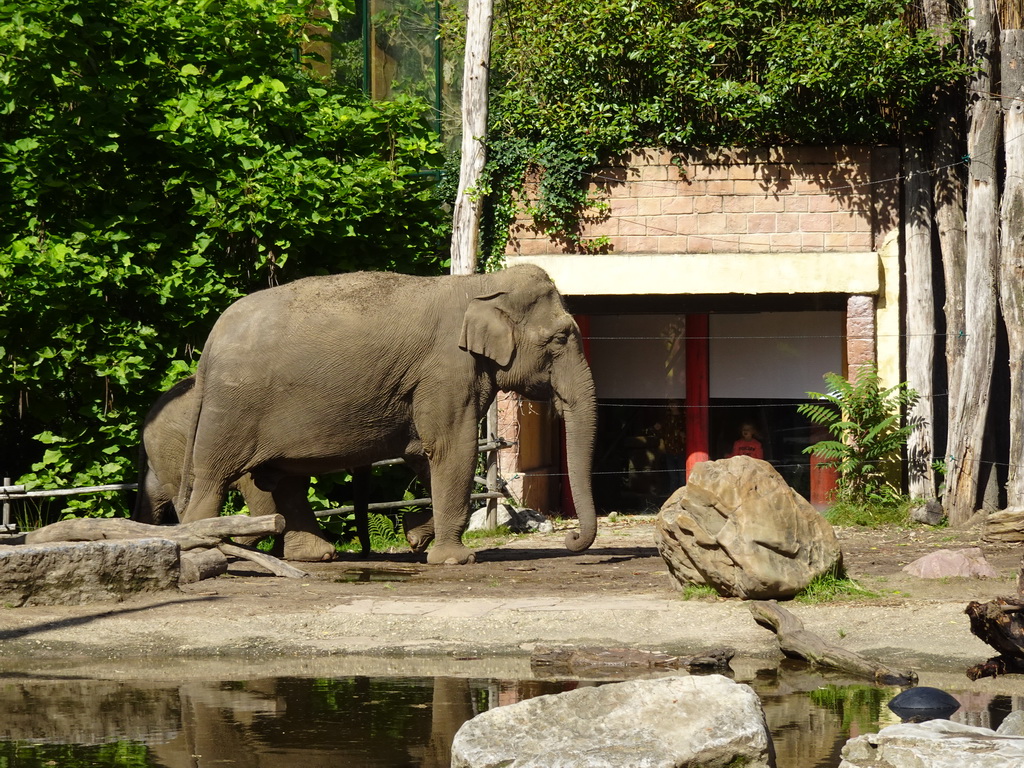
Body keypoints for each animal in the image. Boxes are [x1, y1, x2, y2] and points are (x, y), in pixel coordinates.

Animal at [172, 266, 598, 565]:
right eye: (561, 338)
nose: (571, 539)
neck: (481, 284)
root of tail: (209, 343)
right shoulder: (445, 371)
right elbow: (452, 449)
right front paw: (455, 559)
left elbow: (425, 454)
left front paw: (416, 538)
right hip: (233, 407)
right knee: (214, 478)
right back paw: (203, 552)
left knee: (283, 479)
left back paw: (316, 555)